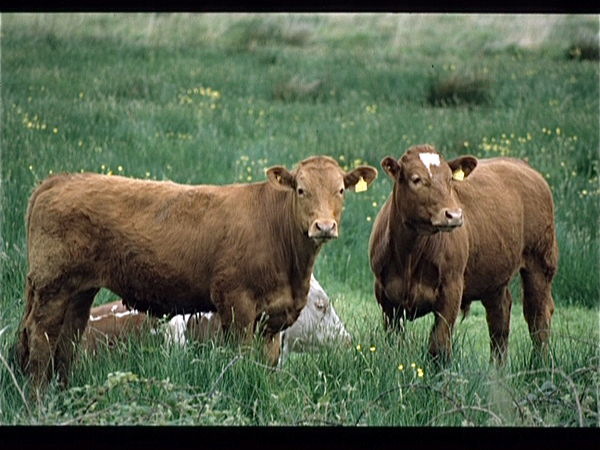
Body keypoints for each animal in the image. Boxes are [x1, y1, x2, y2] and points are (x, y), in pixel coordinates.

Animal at [370, 146, 556, 364]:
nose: (454, 215)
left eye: (450, 179)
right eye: (416, 179)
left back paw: (541, 365)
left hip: (540, 262)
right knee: (499, 318)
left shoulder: (451, 290)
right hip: (494, 275)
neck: (409, 255)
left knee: (538, 318)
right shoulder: (385, 297)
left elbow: (439, 347)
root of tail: (523, 165)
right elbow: (394, 344)